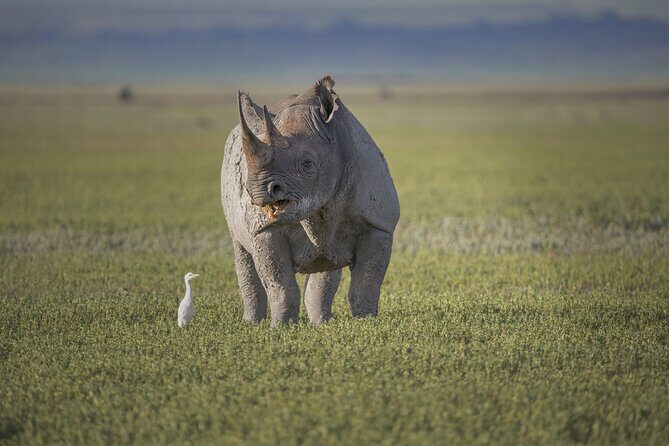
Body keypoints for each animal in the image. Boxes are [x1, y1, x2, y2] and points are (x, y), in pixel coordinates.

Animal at [221, 76, 399, 325]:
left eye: (308, 164)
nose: (256, 190)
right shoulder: (264, 229)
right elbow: (281, 286)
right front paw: (281, 327)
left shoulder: (378, 224)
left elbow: (367, 283)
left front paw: (366, 322)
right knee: (241, 250)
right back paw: (251, 324)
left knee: (326, 263)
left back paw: (321, 323)